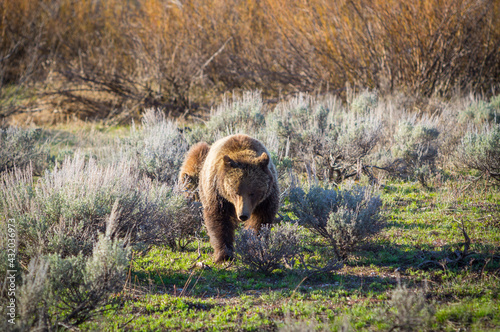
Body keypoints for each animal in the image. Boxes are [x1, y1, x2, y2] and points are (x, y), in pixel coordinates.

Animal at [180, 134, 282, 264]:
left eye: (252, 193)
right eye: (236, 192)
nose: (243, 215)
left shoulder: (267, 198)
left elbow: (261, 221)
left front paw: (255, 248)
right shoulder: (217, 193)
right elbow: (219, 220)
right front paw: (224, 255)